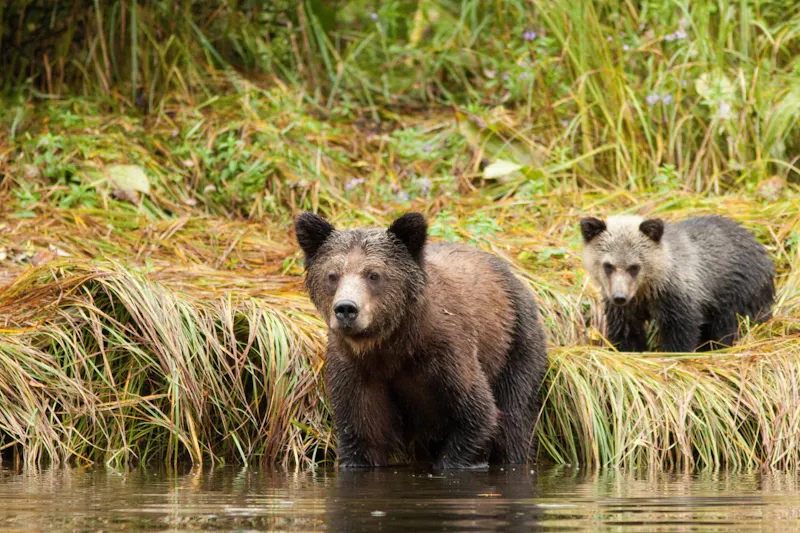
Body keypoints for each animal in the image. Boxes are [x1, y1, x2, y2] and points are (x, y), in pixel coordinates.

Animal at [294, 211, 548, 469]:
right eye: (333, 275)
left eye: (373, 274)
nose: (346, 308)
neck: (392, 344)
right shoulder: (356, 370)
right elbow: (362, 435)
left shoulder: (447, 354)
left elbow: (478, 415)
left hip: (516, 343)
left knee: (515, 419)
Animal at [580, 214, 775, 353]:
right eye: (608, 265)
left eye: (634, 267)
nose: (619, 297)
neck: (648, 289)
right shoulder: (627, 309)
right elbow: (627, 332)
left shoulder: (678, 297)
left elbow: (681, 332)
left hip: (738, 293)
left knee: (728, 327)